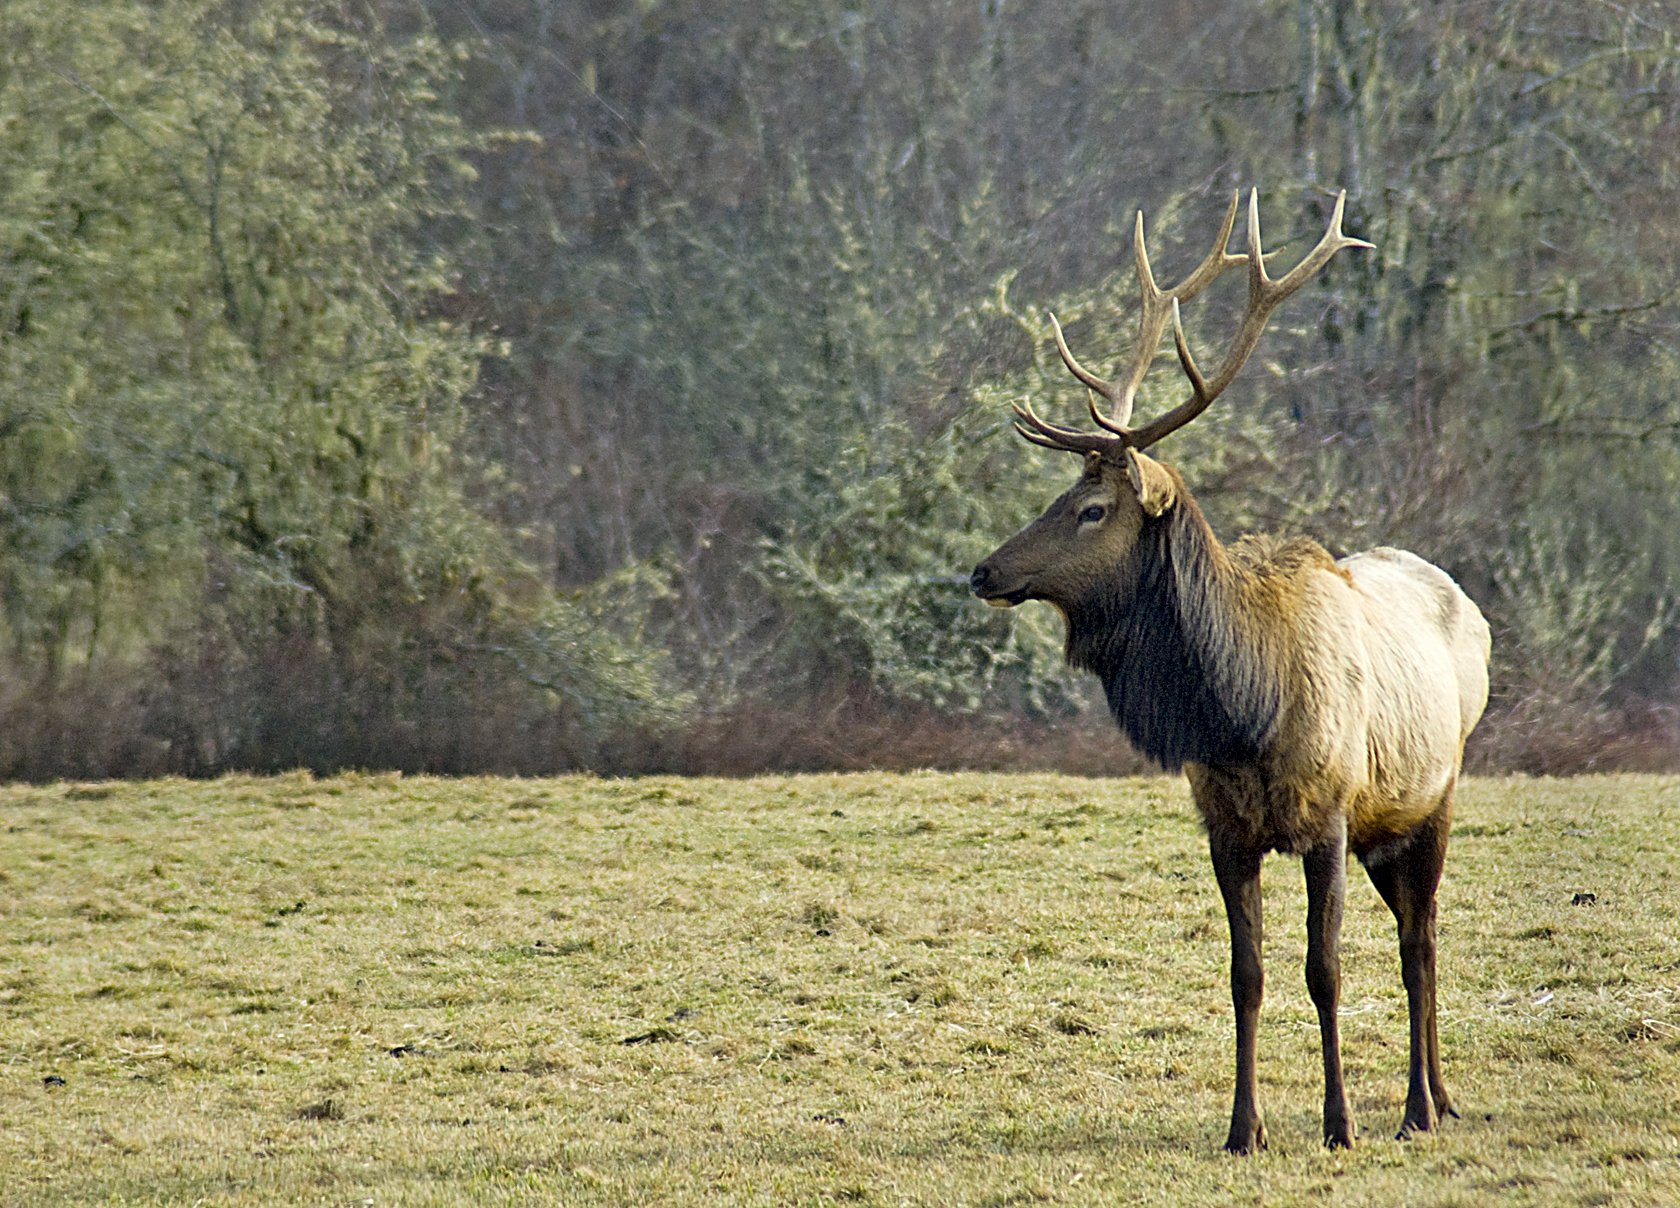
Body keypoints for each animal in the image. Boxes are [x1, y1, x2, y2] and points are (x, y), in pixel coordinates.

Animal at [969, 190, 1491, 1153]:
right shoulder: (1224, 826)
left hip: (1432, 794)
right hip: (1387, 828)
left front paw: (1337, 1123)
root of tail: (1468, 606)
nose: (983, 571)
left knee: (1421, 942)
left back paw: (1415, 1108)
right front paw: (1243, 1127)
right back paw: (1439, 1099)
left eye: (1091, 508)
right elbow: (1245, 973)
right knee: (1417, 933)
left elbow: (1324, 970)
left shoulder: (1328, 816)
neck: (1244, 712)